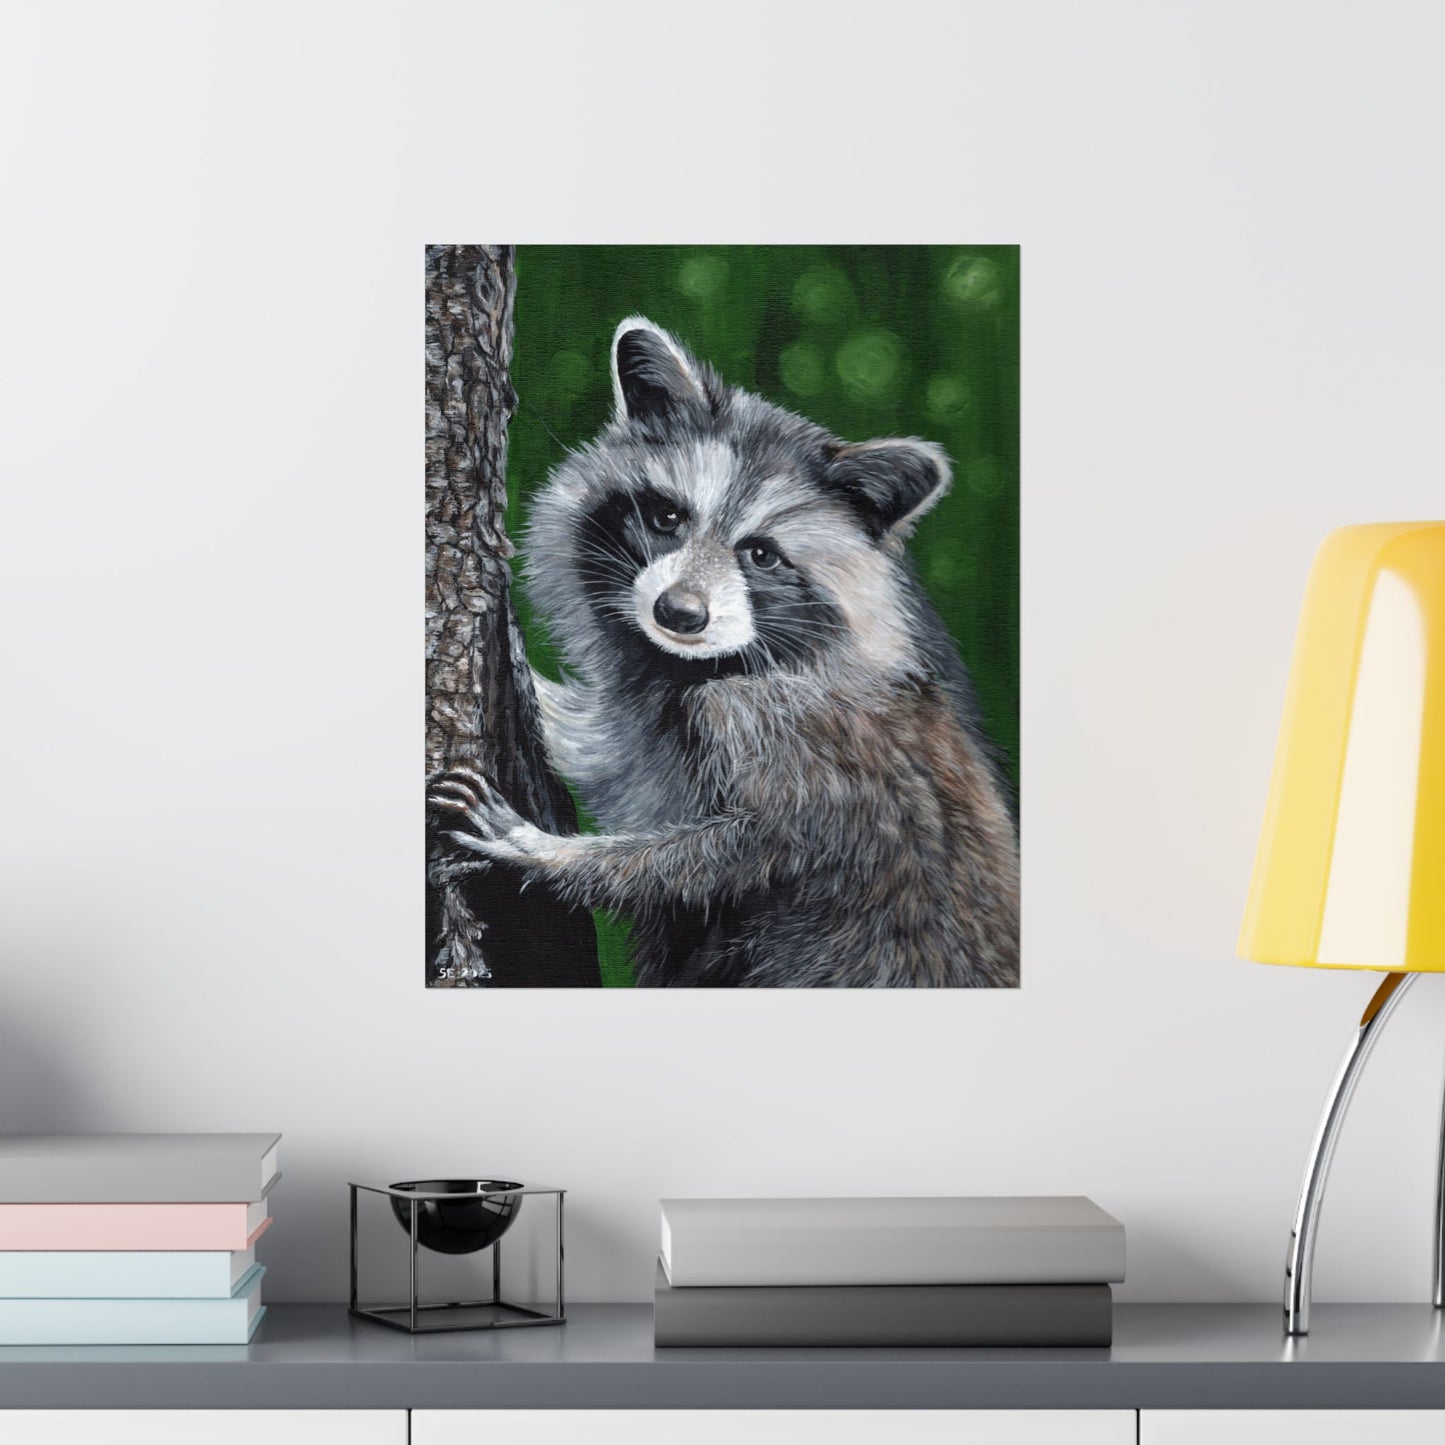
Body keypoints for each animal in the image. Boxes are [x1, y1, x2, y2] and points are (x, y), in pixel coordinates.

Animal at [431, 317, 1020, 987]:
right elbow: (606, 748)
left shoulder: (792, 734)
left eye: (761, 555)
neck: (699, 665)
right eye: (667, 517)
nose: (679, 613)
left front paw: (548, 854)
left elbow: (742, 850)